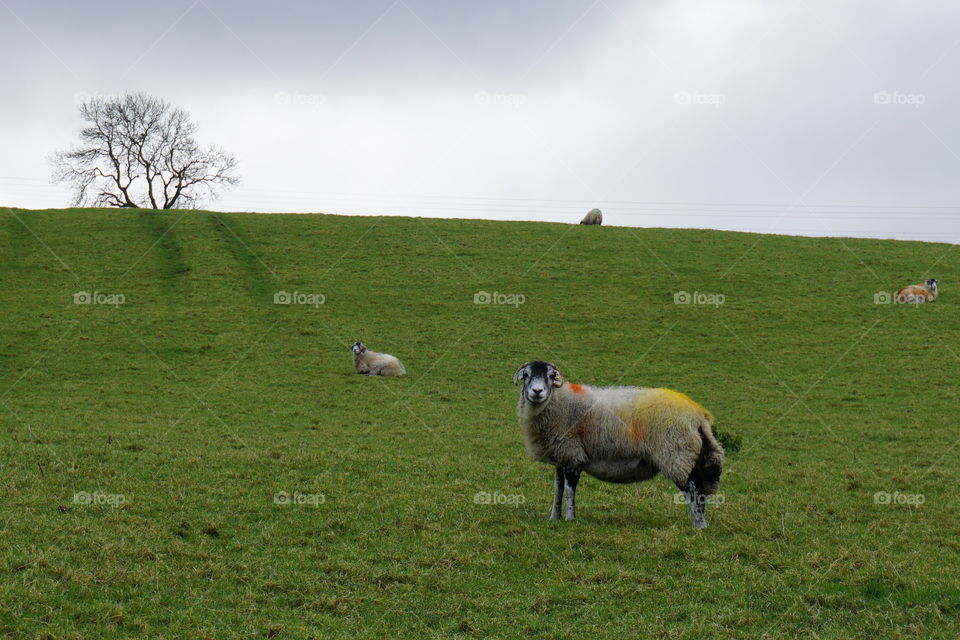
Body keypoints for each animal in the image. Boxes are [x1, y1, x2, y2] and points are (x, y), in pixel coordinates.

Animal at [512, 362, 724, 528]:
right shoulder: (561, 458)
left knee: (691, 489)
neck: (559, 402)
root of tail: (698, 415)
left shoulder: (573, 456)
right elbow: (558, 489)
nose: (537, 392)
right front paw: (554, 518)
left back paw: (699, 525)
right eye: (526, 375)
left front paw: (570, 518)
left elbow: (570, 490)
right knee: (700, 490)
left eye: (550, 376)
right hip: (691, 457)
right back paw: (700, 521)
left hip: (675, 454)